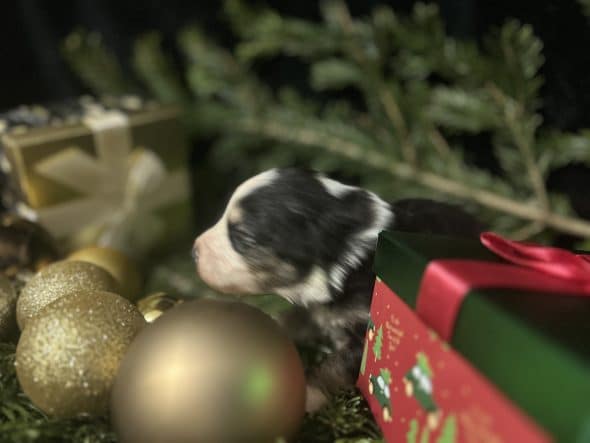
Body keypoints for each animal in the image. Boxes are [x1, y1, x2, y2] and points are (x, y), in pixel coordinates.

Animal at [192, 169, 484, 412]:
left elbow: (331, 367)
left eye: (243, 236)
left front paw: (305, 395)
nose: (194, 251)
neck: (344, 252)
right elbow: (293, 318)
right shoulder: (316, 308)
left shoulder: (365, 332)